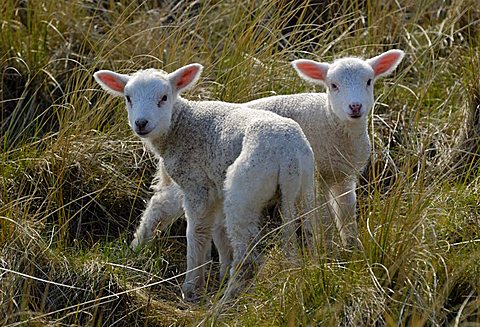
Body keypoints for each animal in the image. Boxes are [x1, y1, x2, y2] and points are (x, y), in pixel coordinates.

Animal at [94, 62, 316, 302]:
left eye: (164, 97)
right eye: (128, 98)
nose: (141, 123)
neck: (180, 125)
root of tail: (288, 156)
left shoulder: (196, 184)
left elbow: (197, 233)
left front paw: (192, 286)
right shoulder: (215, 185)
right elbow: (217, 231)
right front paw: (216, 276)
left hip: (244, 191)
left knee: (247, 261)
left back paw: (225, 302)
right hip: (304, 190)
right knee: (310, 236)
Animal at [129, 50, 404, 251]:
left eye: (369, 81)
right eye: (333, 85)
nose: (355, 107)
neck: (330, 120)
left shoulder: (343, 176)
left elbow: (346, 213)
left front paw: (351, 247)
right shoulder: (317, 176)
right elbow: (323, 219)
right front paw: (328, 251)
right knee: (160, 204)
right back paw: (137, 246)